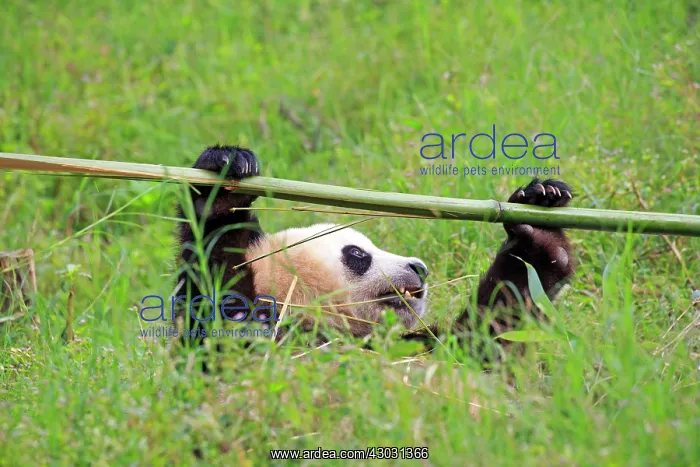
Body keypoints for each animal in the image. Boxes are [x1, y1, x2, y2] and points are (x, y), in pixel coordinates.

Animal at [175, 145, 574, 358]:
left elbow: (493, 333)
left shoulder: (425, 345)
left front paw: (538, 221)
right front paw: (223, 173)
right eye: (357, 254)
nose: (419, 267)